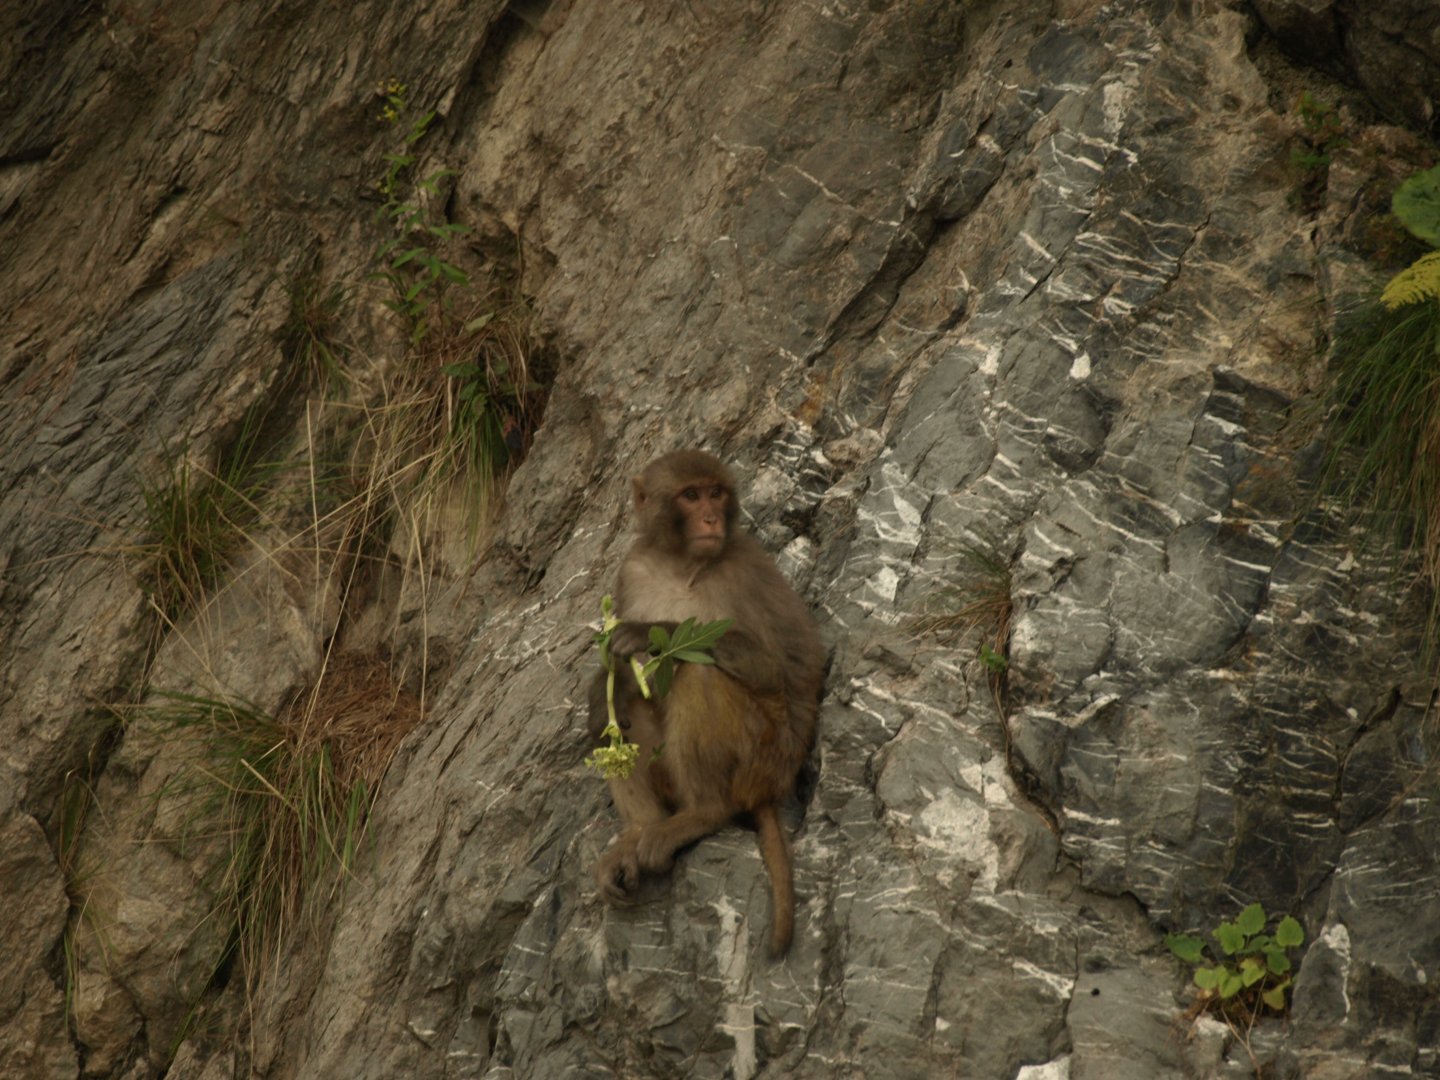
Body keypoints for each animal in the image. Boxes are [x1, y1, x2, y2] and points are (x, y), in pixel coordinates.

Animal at [587, 449, 824, 955]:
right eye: (691, 495)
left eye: (715, 493)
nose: (712, 517)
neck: (682, 563)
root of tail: (773, 786)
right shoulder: (633, 569)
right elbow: (622, 684)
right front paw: (606, 678)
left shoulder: (744, 571)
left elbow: (771, 666)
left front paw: (646, 634)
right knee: (627, 708)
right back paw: (638, 831)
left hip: (763, 755)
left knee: (698, 673)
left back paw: (702, 814)